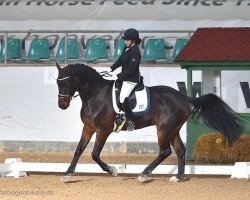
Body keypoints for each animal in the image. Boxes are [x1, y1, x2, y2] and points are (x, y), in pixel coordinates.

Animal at [55, 62, 244, 183]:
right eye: (57, 82)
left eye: (68, 81)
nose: (62, 105)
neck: (95, 95)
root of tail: (184, 97)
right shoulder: (88, 128)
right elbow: (78, 150)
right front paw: (67, 174)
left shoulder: (103, 130)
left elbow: (94, 154)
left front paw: (113, 170)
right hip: (173, 129)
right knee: (180, 150)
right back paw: (178, 177)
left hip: (164, 128)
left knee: (165, 151)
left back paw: (144, 174)